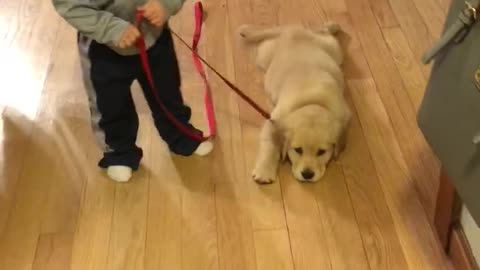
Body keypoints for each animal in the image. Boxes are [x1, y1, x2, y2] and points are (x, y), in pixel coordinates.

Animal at [238, 22, 350, 184]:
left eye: (321, 152)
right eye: (298, 150)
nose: (307, 174)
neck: (313, 101)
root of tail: (291, 30)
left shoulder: (344, 116)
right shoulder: (273, 121)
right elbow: (270, 145)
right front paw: (264, 171)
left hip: (333, 50)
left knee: (322, 31)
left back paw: (331, 26)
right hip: (264, 54)